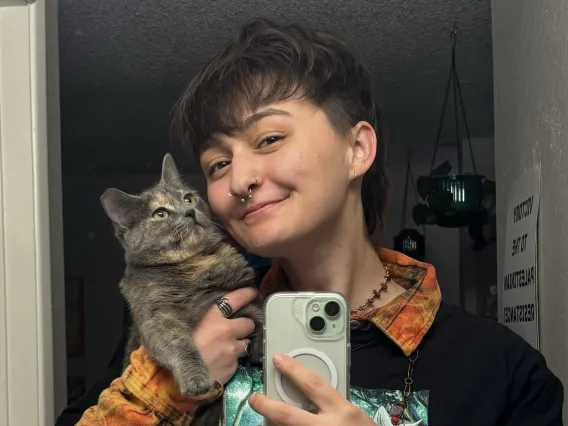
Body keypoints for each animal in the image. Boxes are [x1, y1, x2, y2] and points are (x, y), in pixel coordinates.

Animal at [100, 153, 264, 422]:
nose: (189, 211)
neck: (196, 264)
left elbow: (261, 312)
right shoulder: (157, 315)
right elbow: (178, 344)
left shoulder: (244, 290)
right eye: (160, 214)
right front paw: (196, 379)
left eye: (188, 198)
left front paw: (261, 346)